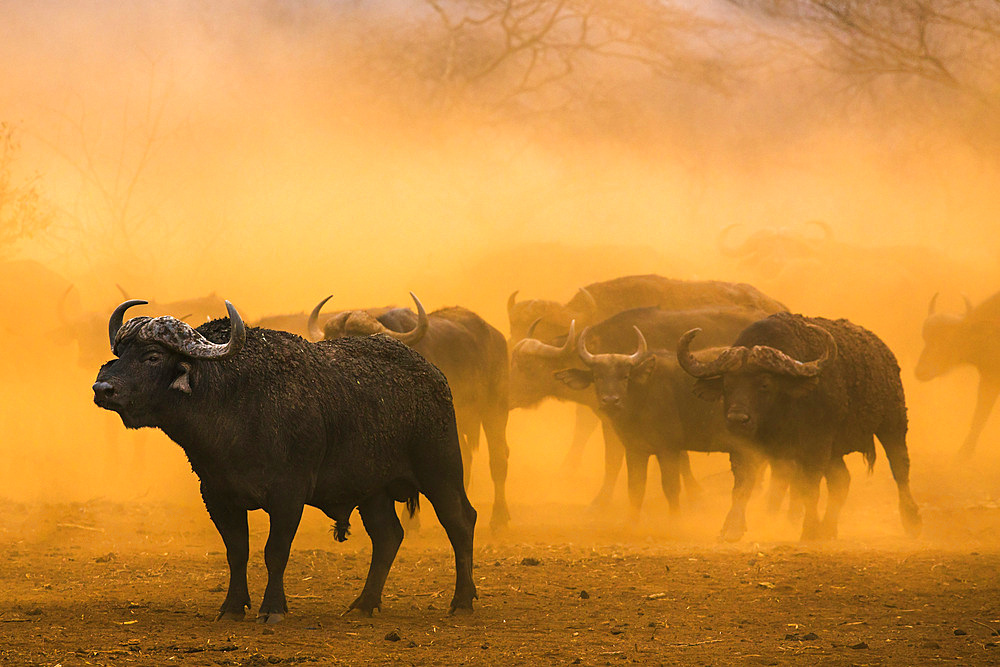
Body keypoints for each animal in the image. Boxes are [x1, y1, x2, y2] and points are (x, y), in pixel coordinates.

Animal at [93, 300, 476, 624]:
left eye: (153, 356)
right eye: (122, 352)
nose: (103, 389)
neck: (235, 403)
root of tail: (434, 376)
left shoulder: (288, 495)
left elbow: (275, 551)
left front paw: (272, 609)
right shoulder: (216, 495)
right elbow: (237, 551)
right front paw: (232, 608)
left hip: (441, 469)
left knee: (460, 521)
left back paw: (462, 601)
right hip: (373, 490)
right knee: (388, 536)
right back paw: (364, 604)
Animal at [680, 314, 920, 544]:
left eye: (764, 384)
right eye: (727, 384)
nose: (737, 419)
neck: (777, 416)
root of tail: (884, 352)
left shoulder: (816, 445)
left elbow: (809, 488)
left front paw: (810, 530)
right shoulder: (744, 448)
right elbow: (742, 485)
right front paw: (731, 529)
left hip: (894, 422)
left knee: (900, 467)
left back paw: (911, 520)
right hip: (835, 451)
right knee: (841, 480)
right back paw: (829, 528)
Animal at [916, 292, 1000, 460]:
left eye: (949, 339)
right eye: (925, 338)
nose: (921, 371)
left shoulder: (991, 378)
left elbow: (980, 416)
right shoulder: (988, 378)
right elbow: (979, 416)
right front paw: (965, 452)